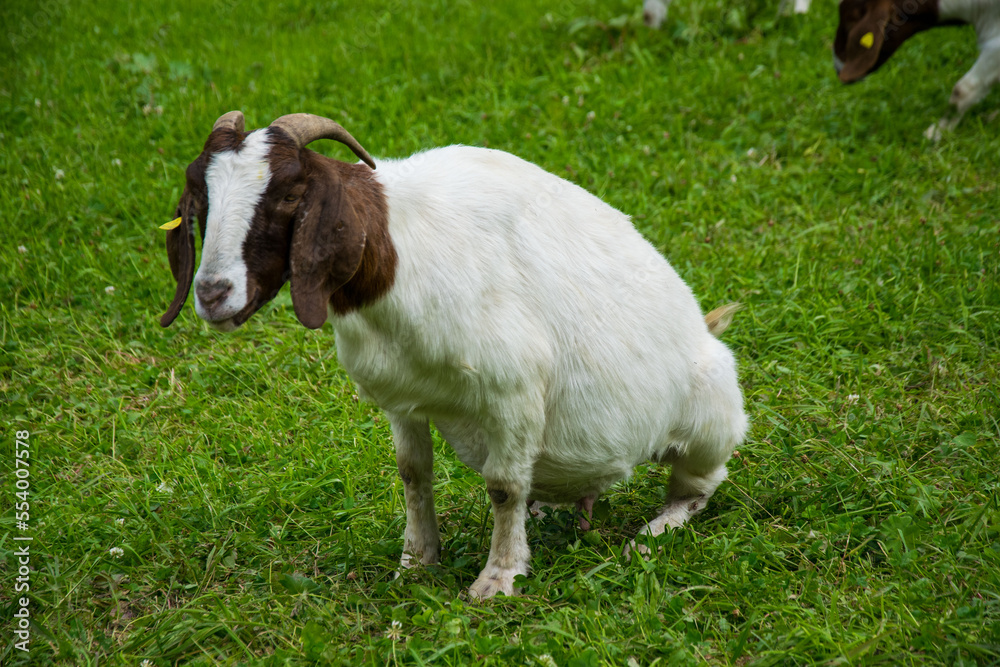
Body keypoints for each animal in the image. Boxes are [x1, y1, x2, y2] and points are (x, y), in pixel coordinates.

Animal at [160, 111, 748, 599]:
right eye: (201, 203)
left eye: (286, 195)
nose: (211, 293)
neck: (399, 253)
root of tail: (706, 331)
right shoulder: (403, 399)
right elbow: (413, 474)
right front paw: (417, 563)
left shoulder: (513, 391)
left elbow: (503, 486)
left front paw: (498, 579)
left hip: (709, 418)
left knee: (701, 486)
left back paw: (650, 534)